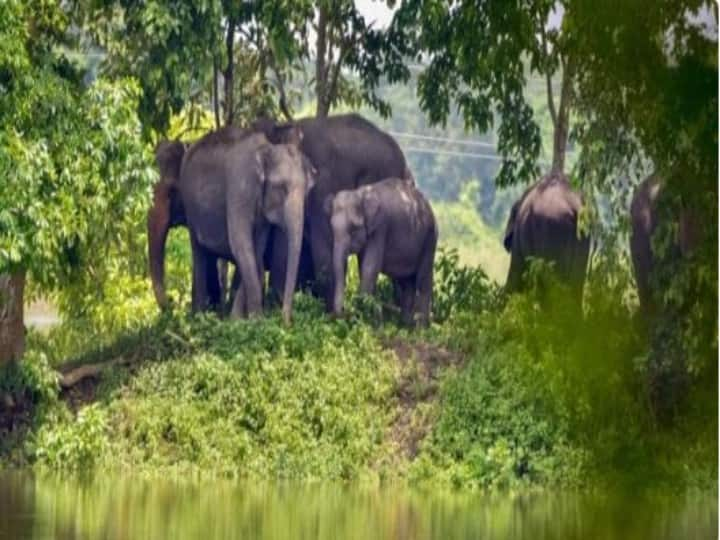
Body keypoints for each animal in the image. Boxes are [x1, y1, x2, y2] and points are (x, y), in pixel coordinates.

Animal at [147, 126, 316, 322]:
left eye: (308, 191)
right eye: (280, 188)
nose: (286, 322)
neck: (267, 150)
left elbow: (254, 248)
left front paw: (239, 319)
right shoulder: (239, 187)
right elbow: (241, 244)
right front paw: (253, 320)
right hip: (193, 209)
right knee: (199, 251)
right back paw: (200, 316)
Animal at [326, 177, 438, 324]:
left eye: (354, 229)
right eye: (332, 229)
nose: (344, 312)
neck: (360, 193)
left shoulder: (380, 227)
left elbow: (370, 267)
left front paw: (364, 313)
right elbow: (362, 267)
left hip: (429, 239)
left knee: (423, 279)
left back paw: (421, 327)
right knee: (407, 283)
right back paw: (405, 325)